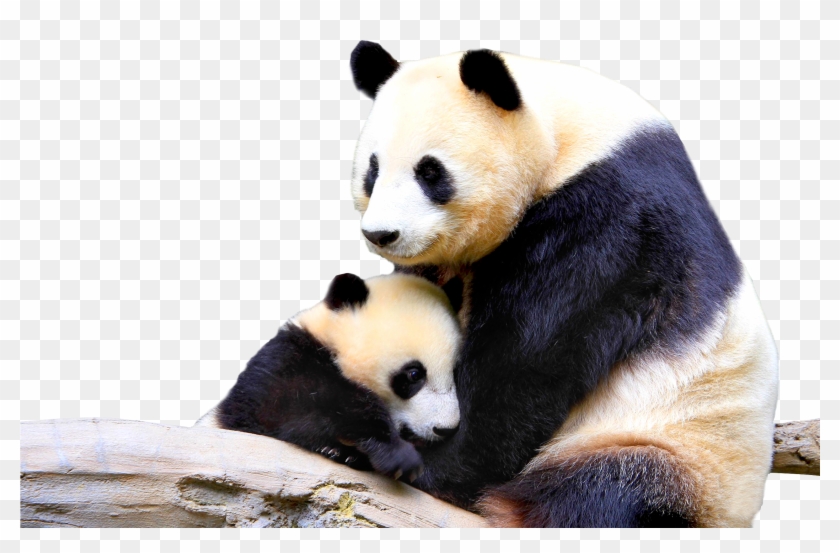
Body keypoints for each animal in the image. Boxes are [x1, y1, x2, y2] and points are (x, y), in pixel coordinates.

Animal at [196, 272, 463, 482]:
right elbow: (286, 406)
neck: (331, 343)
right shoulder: (284, 360)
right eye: (414, 374)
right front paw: (396, 454)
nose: (445, 429)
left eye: (454, 372)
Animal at [348, 41, 779, 527]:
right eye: (372, 170)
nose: (381, 234)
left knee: (602, 495)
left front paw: (424, 461)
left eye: (430, 172)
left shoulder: (609, 222)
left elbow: (526, 361)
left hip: (674, 448)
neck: (567, 135)